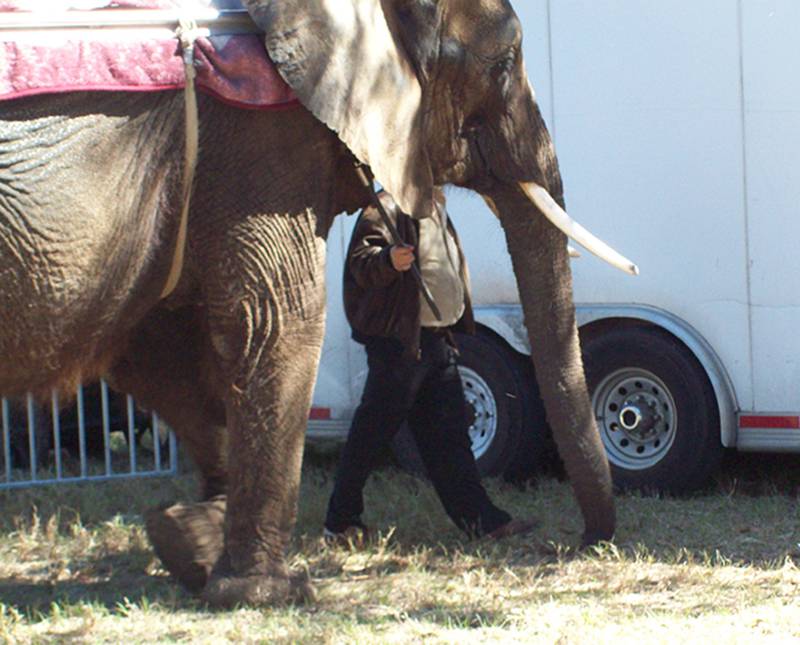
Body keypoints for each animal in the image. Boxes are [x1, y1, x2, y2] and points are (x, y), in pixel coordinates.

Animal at [0, 0, 628, 604]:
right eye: (502, 64)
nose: (582, 543)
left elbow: (161, 352)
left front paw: (192, 541)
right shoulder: (261, 145)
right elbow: (279, 320)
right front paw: (266, 592)